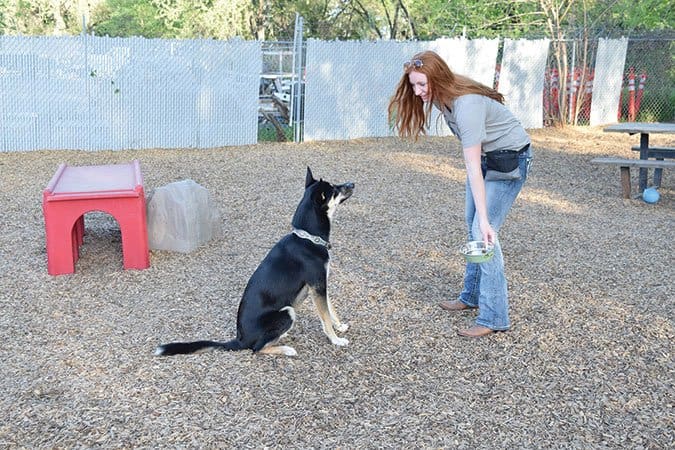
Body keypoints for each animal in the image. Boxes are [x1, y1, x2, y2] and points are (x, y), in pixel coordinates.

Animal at [153, 167, 354, 356]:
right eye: (334, 189)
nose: (352, 183)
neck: (308, 238)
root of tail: (239, 340)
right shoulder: (317, 285)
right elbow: (325, 316)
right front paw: (336, 339)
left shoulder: (320, 285)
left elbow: (331, 308)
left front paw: (339, 326)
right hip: (287, 312)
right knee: (257, 348)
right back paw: (286, 349)